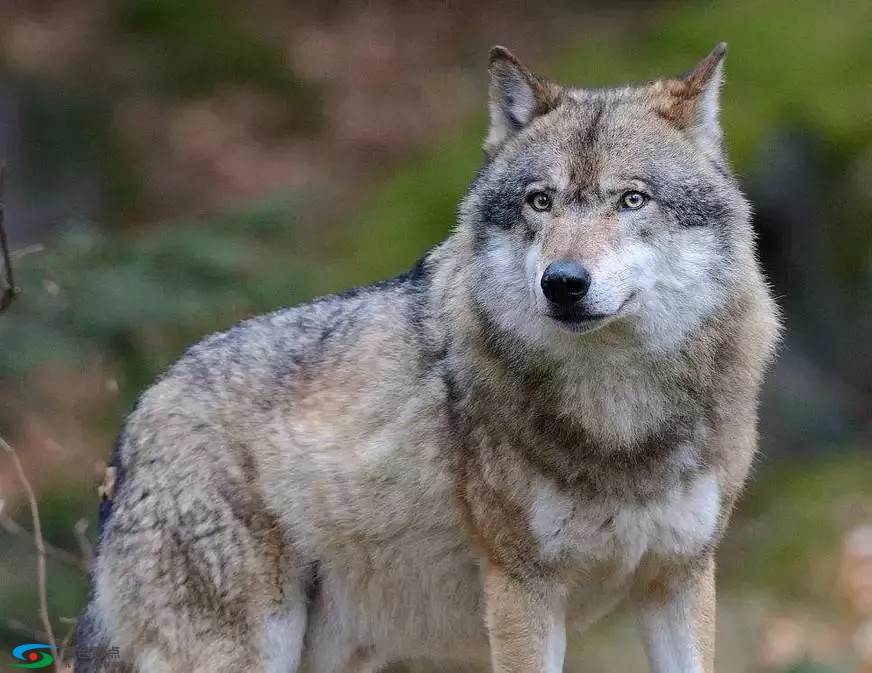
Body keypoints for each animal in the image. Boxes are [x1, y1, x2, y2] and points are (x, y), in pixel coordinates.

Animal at [78, 44, 780, 668]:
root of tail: (133, 427)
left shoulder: (679, 578)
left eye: (632, 199)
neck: (620, 417)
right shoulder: (522, 590)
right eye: (541, 200)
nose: (562, 282)